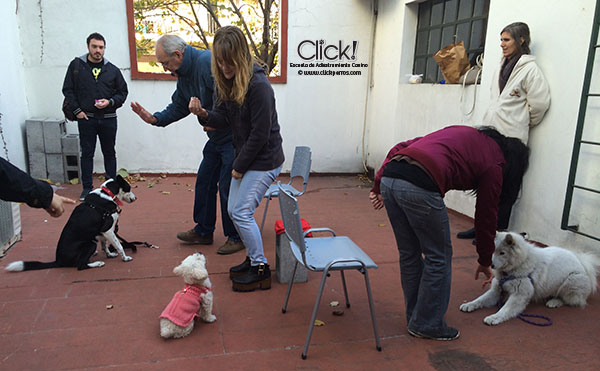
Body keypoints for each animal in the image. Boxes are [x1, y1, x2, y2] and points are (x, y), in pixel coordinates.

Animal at [5, 176, 137, 272]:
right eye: (129, 188)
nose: (135, 198)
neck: (108, 194)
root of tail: (59, 261)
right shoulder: (107, 229)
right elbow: (118, 245)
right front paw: (125, 257)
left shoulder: (101, 232)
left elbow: (104, 245)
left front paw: (109, 254)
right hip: (90, 244)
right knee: (80, 265)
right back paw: (97, 263)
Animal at [462, 232, 596, 326]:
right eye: (493, 251)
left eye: (502, 253)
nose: (492, 265)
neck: (517, 265)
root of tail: (581, 262)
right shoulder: (496, 291)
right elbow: (480, 299)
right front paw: (469, 304)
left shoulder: (519, 295)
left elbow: (505, 309)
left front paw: (493, 317)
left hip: (570, 282)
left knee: (573, 301)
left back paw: (555, 302)